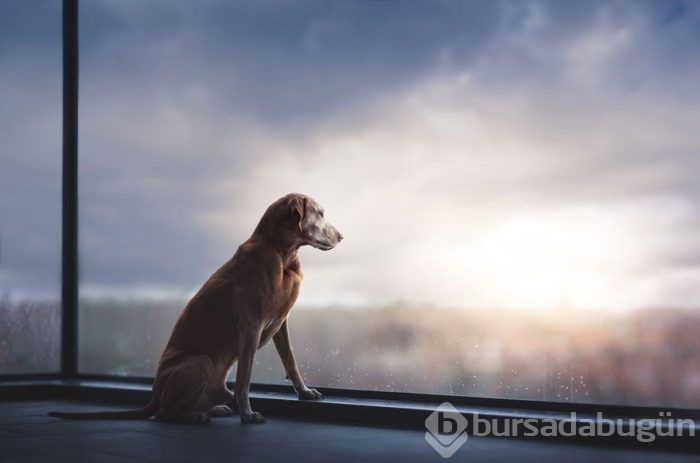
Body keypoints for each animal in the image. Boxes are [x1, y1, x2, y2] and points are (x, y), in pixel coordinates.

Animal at [47, 192, 344, 424]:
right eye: (320, 213)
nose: (341, 236)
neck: (283, 254)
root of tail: (154, 393)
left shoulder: (280, 323)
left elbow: (291, 360)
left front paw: (305, 392)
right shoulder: (251, 325)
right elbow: (245, 378)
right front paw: (247, 414)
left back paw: (213, 409)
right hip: (201, 363)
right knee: (164, 414)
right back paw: (196, 416)